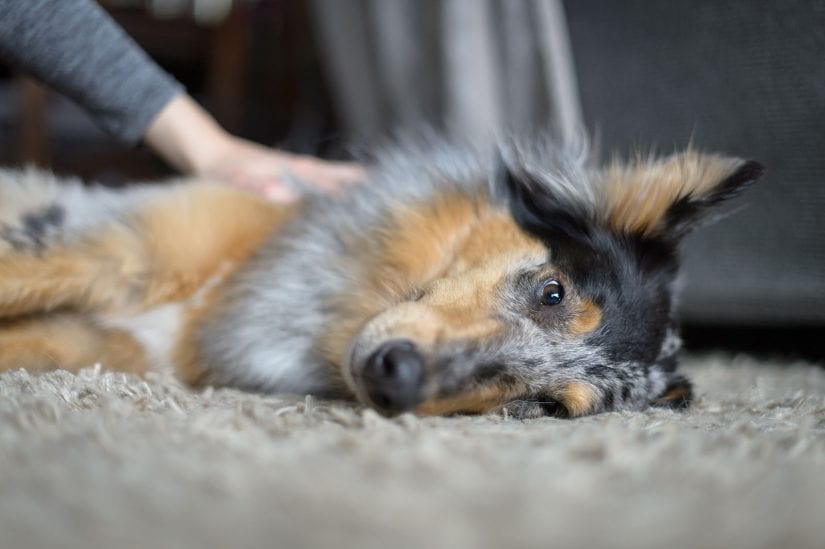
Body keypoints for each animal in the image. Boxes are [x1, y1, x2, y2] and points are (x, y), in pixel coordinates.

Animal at [0, 140, 760, 416]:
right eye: (553, 292)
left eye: (545, 407)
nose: (394, 376)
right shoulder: (120, 247)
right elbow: (22, 269)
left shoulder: (91, 343)